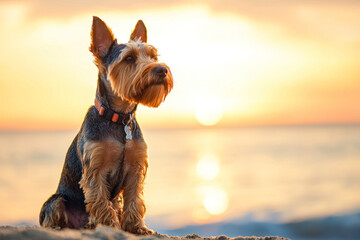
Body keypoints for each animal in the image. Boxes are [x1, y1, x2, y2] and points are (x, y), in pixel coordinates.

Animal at [39, 15, 173, 235]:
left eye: (153, 56)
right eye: (129, 58)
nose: (161, 69)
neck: (119, 117)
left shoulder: (135, 167)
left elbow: (134, 200)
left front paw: (136, 227)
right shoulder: (95, 167)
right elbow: (100, 200)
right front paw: (109, 226)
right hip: (56, 200)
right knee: (55, 210)